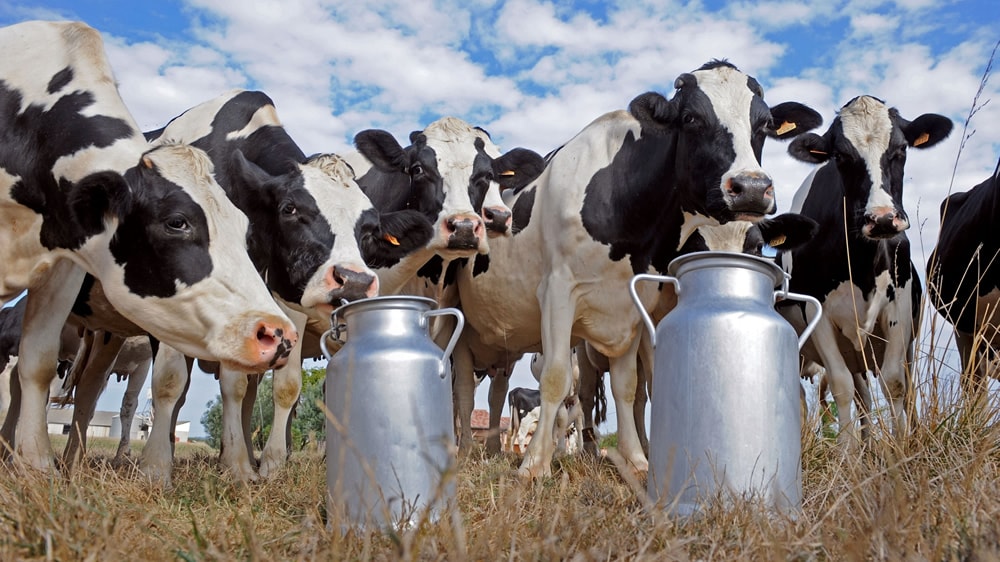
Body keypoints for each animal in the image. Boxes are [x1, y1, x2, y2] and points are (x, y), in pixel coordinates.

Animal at [0, 20, 296, 468]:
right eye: (177, 222)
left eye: (245, 229)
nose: (278, 333)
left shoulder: (66, 265)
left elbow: (39, 361)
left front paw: (37, 465)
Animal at [450, 59, 824, 474]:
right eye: (691, 118)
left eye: (764, 124)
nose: (752, 188)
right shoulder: (558, 292)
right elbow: (556, 377)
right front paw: (534, 464)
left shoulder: (632, 305)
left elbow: (627, 387)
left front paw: (635, 459)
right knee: (464, 391)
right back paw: (466, 451)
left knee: (496, 392)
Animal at [772, 95, 952, 442]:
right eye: (841, 156)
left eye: (901, 149)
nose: (882, 219)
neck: (861, 265)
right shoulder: (819, 315)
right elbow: (841, 386)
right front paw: (846, 450)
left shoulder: (899, 307)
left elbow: (894, 383)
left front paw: (900, 447)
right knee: (861, 395)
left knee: (901, 388)